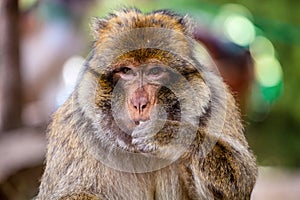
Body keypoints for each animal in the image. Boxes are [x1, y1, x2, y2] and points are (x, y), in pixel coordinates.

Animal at [37, 8, 258, 200]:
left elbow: (242, 178)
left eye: (154, 72)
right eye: (126, 71)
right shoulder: (72, 124)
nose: (140, 103)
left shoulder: (219, 101)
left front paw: (166, 134)